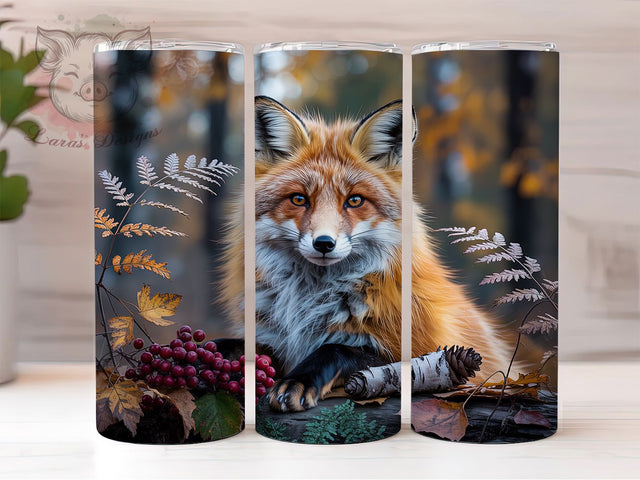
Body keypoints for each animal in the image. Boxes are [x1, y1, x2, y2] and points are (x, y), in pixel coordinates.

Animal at [220, 95, 512, 413]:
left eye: (354, 200)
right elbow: (231, 345)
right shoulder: (273, 342)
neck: (310, 302)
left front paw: (298, 379)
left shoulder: (428, 354)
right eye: (298, 199)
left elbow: (334, 348)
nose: (324, 243)